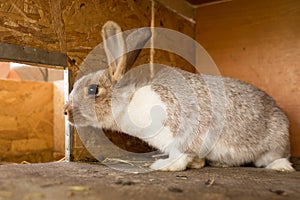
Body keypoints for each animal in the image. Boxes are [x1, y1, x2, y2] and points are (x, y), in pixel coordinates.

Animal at [63, 21, 296, 172]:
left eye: (93, 90)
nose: (65, 111)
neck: (131, 99)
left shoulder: (183, 134)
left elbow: (180, 157)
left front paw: (161, 166)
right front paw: (197, 164)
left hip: (275, 143)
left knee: (274, 158)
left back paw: (281, 167)